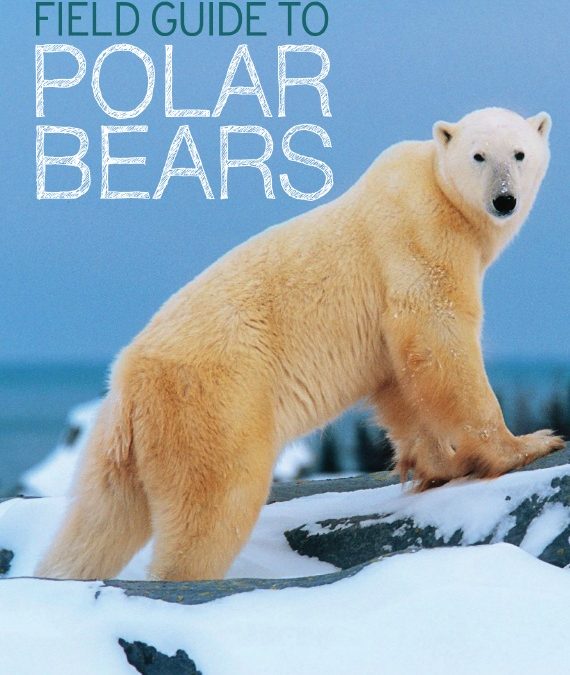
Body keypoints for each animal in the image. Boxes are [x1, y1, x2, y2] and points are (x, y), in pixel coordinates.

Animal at [36, 107, 564, 582]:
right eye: (479, 156)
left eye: (520, 153)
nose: (504, 200)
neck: (436, 191)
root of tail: (129, 381)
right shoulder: (418, 243)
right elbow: (439, 343)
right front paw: (527, 444)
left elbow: (398, 381)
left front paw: (438, 466)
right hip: (213, 405)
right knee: (215, 507)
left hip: (119, 441)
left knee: (99, 522)